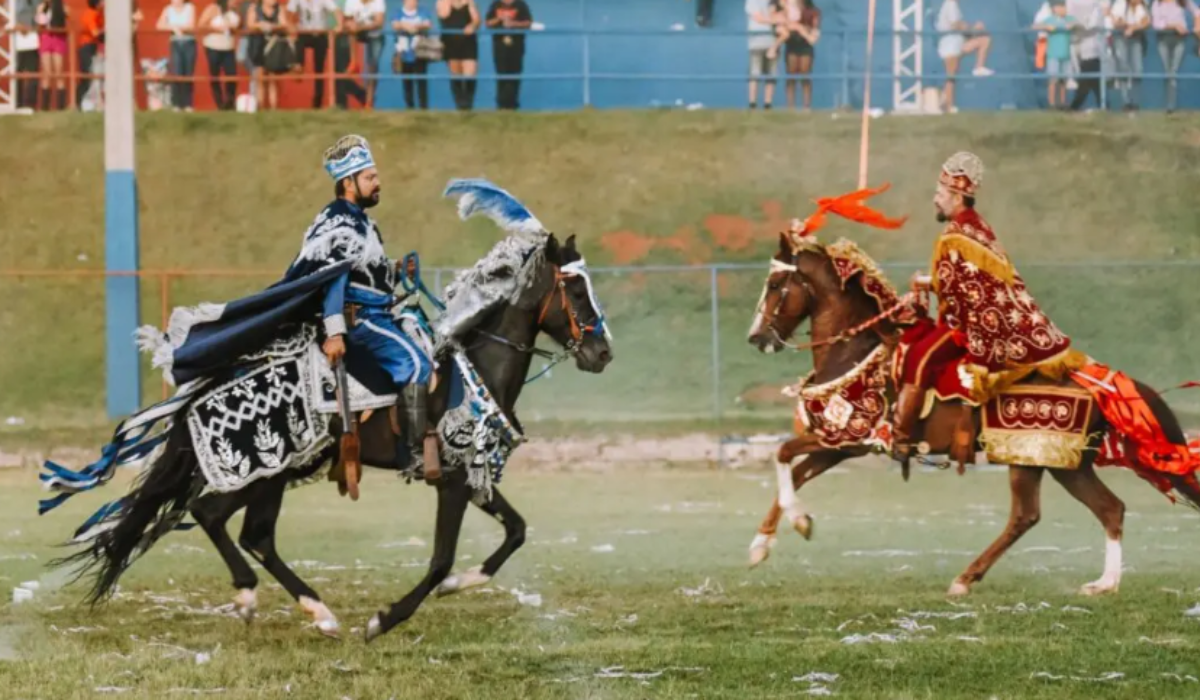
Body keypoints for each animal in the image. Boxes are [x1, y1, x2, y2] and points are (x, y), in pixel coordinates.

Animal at [54, 234, 609, 638]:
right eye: (575, 290)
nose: (602, 353)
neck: (475, 371)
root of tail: (207, 385)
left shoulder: (474, 473)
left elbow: (516, 531)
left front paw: (459, 585)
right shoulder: (451, 478)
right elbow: (439, 558)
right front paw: (384, 619)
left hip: (276, 471)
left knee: (235, 526)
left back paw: (292, 605)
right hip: (265, 469)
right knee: (227, 522)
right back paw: (283, 603)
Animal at [744, 234, 1195, 597]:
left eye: (775, 285)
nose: (756, 338)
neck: (856, 352)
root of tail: (1096, 379)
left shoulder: (849, 435)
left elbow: (783, 455)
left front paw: (796, 524)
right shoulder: (840, 444)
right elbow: (797, 471)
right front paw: (765, 542)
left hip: (1028, 457)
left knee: (1026, 516)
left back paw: (965, 579)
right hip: (1066, 463)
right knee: (1110, 509)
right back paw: (1105, 583)